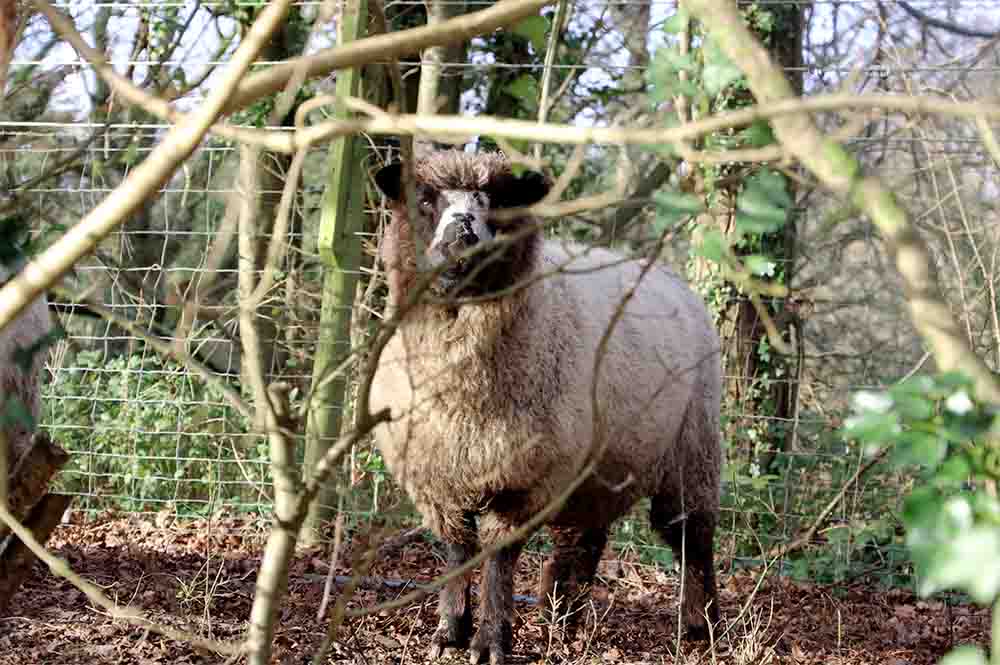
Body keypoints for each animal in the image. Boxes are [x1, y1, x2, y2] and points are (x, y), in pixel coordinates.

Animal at [368, 150, 723, 664]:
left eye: (499, 202)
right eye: (426, 200)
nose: (461, 241)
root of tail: (671, 278)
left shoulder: (521, 481)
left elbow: (497, 557)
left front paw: (490, 642)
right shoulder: (441, 474)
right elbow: (457, 550)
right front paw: (450, 631)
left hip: (691, 446)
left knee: (691, 536)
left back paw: (701, 625)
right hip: (601, 460)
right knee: (586, 536)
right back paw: (564, 617)